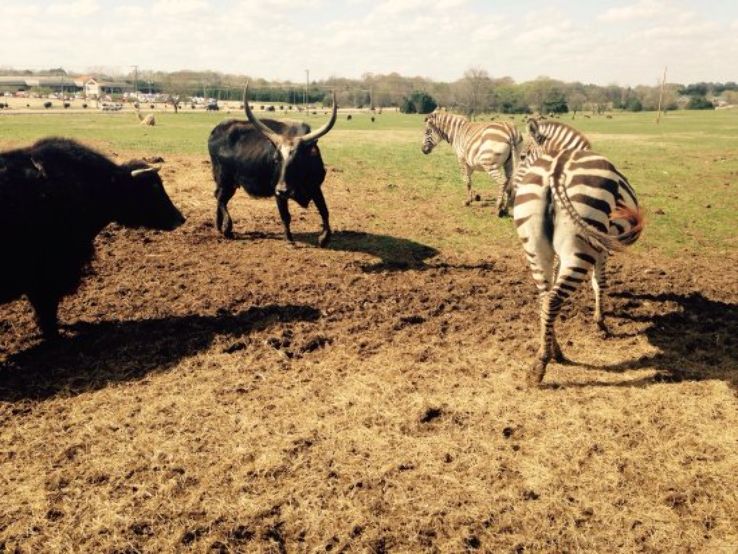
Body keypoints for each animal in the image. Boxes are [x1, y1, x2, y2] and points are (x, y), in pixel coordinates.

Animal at [208, 84, 337, 247]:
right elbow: (286, 216)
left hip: (228, 183)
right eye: (276, 160)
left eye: (298, 160)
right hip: (225, 179)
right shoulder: (278, 193)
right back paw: (227, 228)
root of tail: (217, 129)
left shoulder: (315, 187)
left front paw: (324, 238)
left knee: (219, 198)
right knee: (220, 199)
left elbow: (324, 210)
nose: (282, 189)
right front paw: (289, 239)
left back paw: (219, 226)